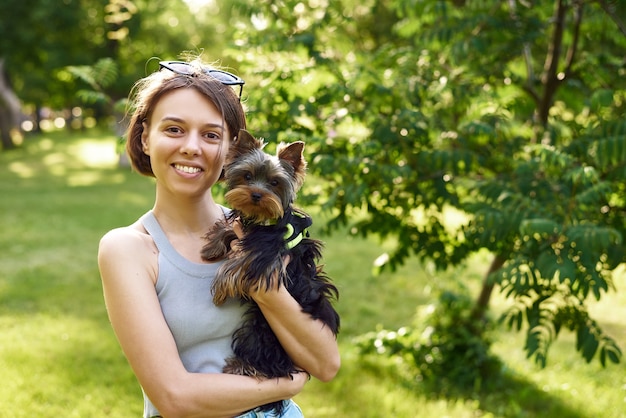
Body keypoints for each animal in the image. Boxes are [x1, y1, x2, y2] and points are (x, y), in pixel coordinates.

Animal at [201, 128, 338, 414]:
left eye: (275, 183)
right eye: (247, 176)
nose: (256, 195)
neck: (261, 219)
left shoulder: (268, 257)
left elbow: (238, 265)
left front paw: (219, 290)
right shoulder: (249, 231)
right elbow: (230, 230)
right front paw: (213, 245)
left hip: (259, 333)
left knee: (269, 365)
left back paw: (242, 367)